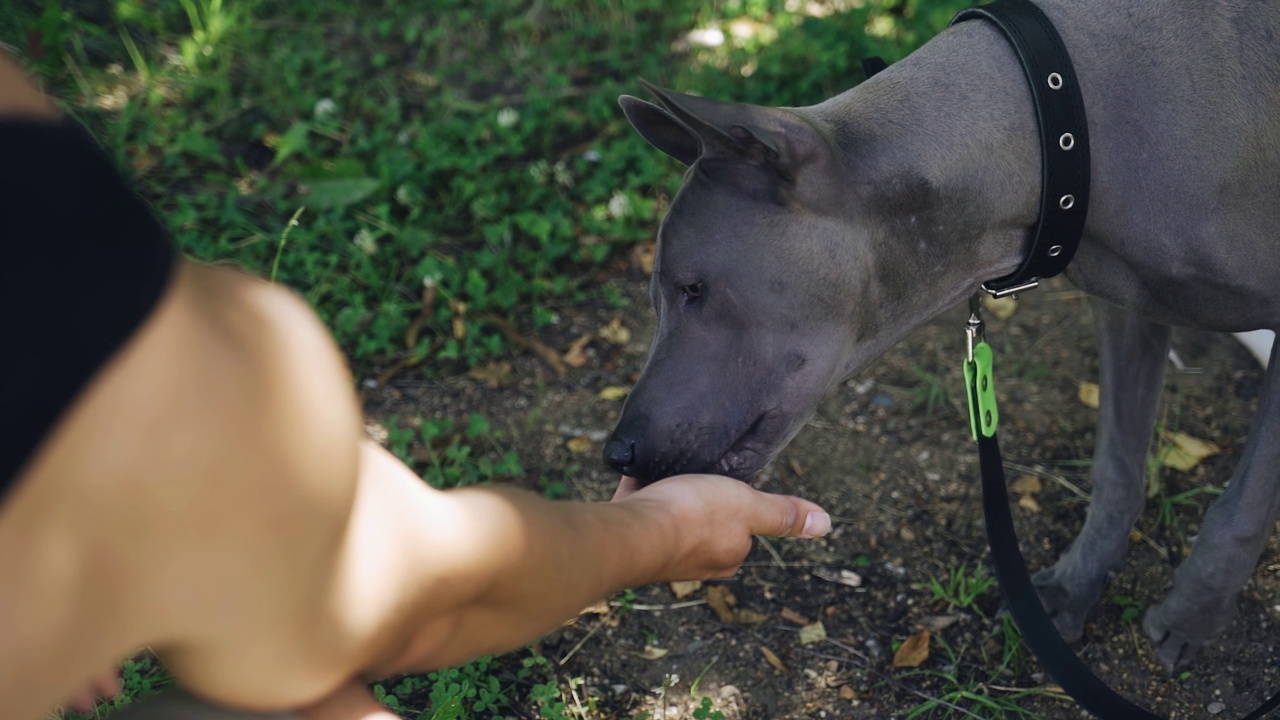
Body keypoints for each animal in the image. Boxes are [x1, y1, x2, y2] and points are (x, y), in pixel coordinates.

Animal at [601, 1, 1280, 671]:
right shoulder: (1126, 307)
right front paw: (1074, 587)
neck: (1061, 129)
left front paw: (1193, 616)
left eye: (693, 289)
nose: (617, 451)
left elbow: (1241, 508)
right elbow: (1116, 463)